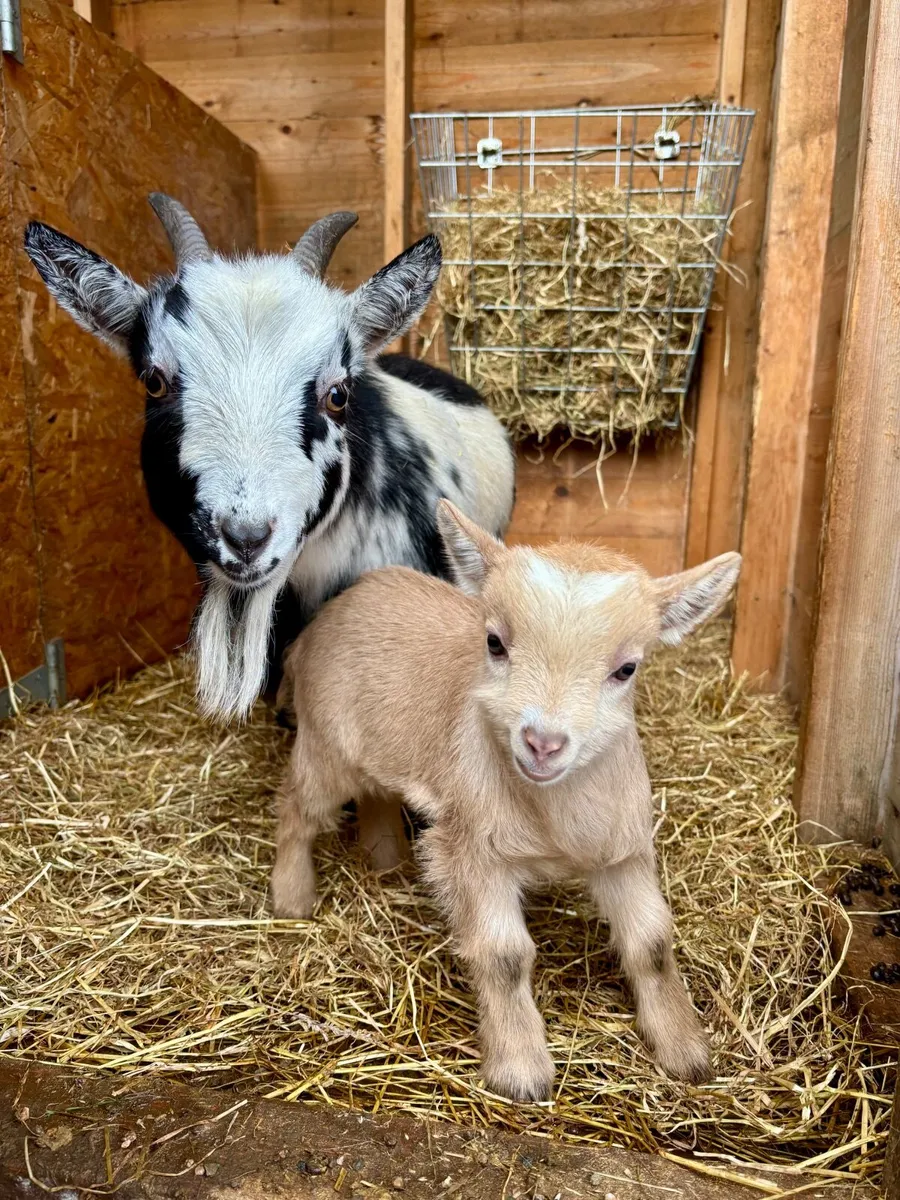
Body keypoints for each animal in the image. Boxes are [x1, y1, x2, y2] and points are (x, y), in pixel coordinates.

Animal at [271, 501, 741, 1101]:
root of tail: (317, 627)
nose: (543, 742)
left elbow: (652, 944)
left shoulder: (623, 850)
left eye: (627, 668)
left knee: (377, 795)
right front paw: (520, 1070)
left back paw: (388, 867)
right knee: (297, 810)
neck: (553, 820)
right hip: (324, 746)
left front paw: (685, 1051)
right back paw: (291, 898)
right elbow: (505, 956)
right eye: (495, 642)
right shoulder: (475, 848)